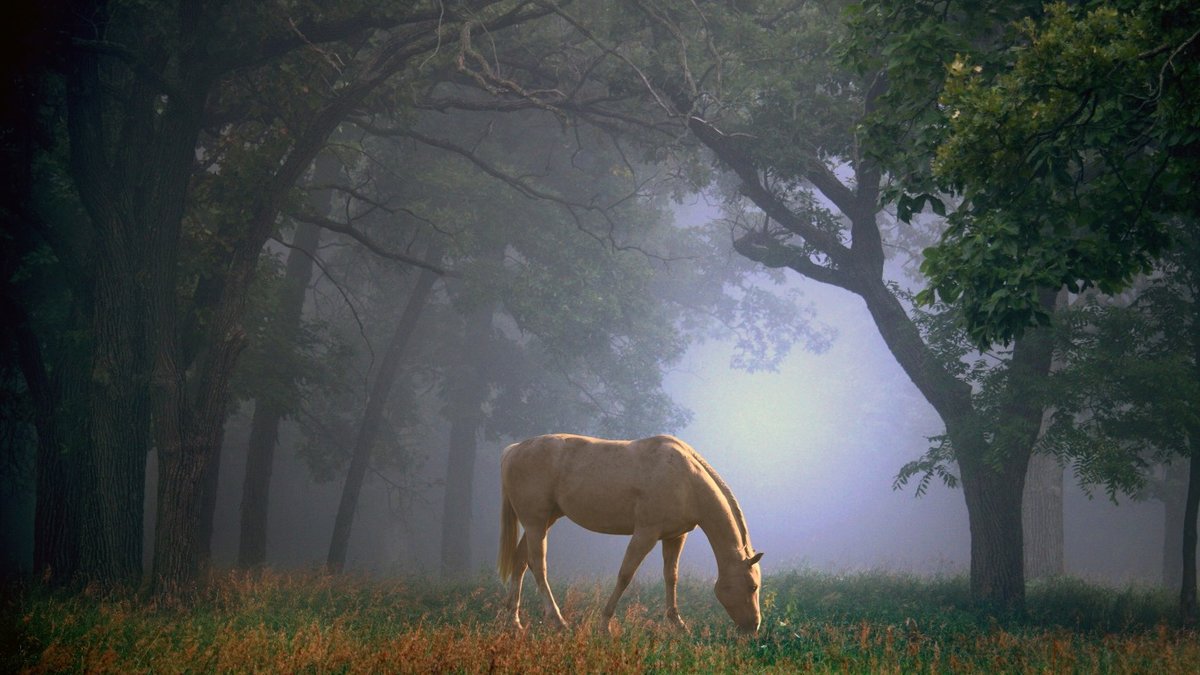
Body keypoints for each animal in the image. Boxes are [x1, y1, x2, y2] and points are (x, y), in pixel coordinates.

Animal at [497, 433, 763, 634]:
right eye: (752, 587)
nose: (753, 627)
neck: (686, 479)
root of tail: (514, 450)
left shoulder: (675, 537)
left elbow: (671, 577)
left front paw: (679, 625)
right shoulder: (646, 534)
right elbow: (625, 576)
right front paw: (605, 625)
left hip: (543, 522)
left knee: (520, 562)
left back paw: (515, 622)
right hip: (535, 523)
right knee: (537, 566)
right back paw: (559, 621)